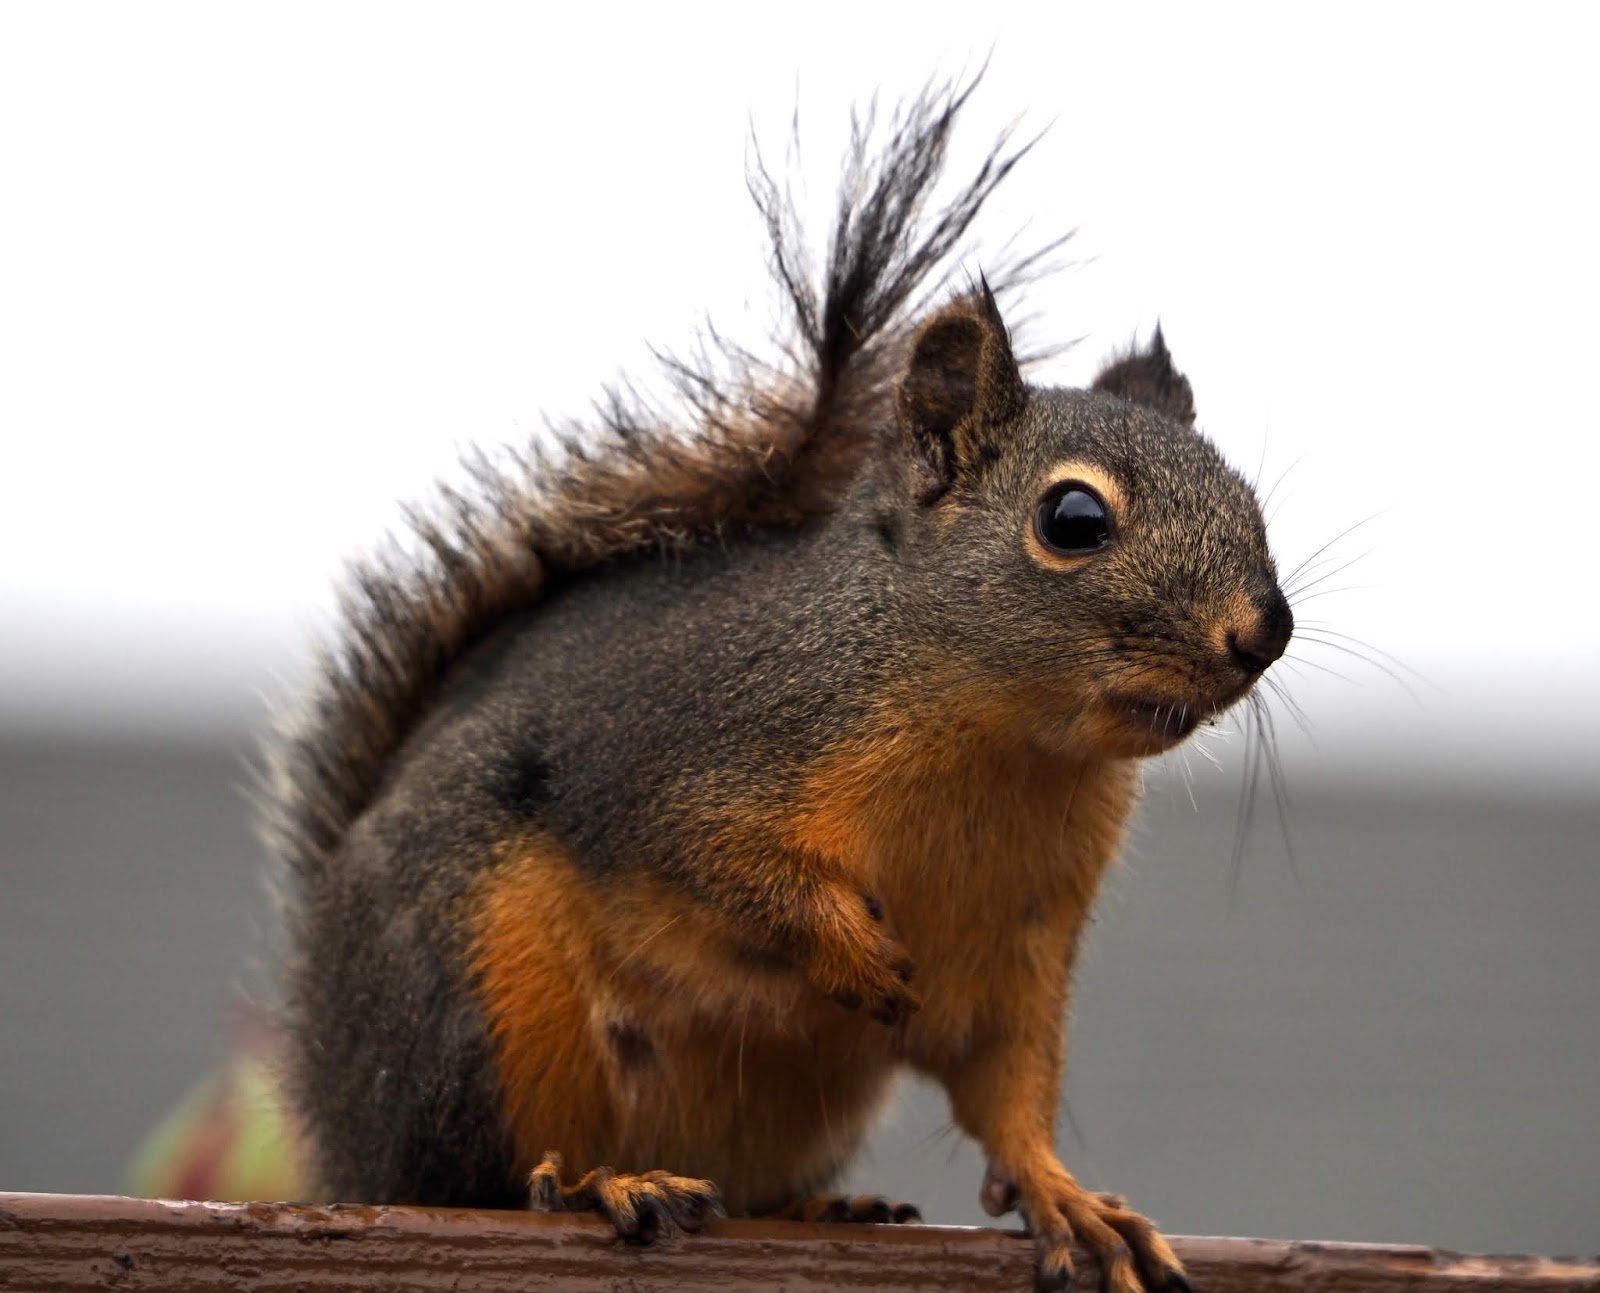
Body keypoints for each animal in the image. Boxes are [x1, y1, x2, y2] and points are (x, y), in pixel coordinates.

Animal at [265, 79, 1291, 1293]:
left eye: (1249, 499)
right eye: (1073, 519)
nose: (1265, 631)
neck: (1001, 746)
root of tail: (338, 1117)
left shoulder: (1018, 952)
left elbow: (1006, 1087)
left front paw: (1066, 1198)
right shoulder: (683, 759)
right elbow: (723, 867)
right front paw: (848, 951)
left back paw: (818, 1205)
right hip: (477, 995)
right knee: (482, 1177)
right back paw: (601, 1180)